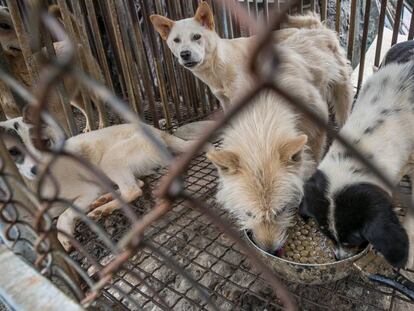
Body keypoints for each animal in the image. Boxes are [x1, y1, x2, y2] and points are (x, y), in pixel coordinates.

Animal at [0, 118, 196, 252]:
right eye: (13, 152)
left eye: (43, 142)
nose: (41, 169)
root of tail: (159, 132)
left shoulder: (88, 191)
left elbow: (64, 215)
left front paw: (64, 237)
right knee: (136, 184)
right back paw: (102, 202)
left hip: (110, 160)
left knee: (132, 190)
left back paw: (102, 209)